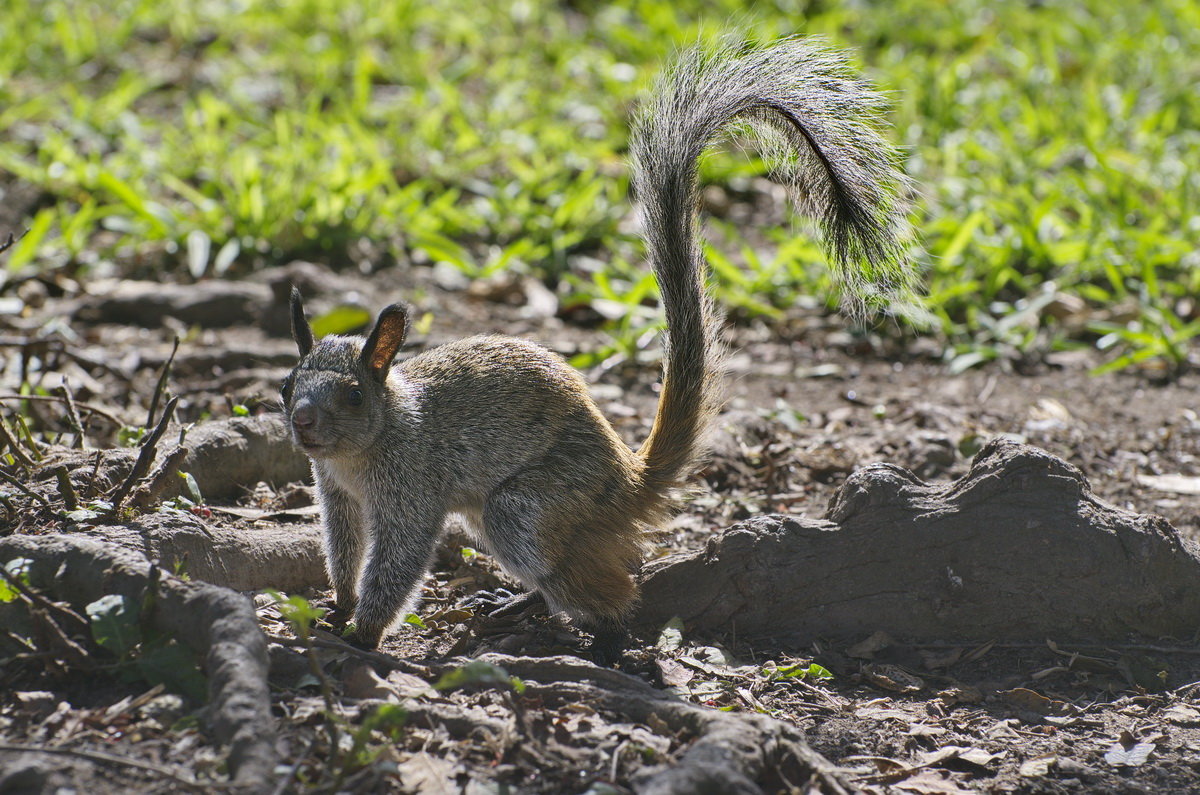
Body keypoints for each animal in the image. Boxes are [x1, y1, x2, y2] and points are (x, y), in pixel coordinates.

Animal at [285, 37, 912, 662]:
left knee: (604, 585)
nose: (303, 421)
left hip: (530, 505)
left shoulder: (412, 487)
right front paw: (339, 606)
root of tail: (628, 479)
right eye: (286, 385)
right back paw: (517, 606)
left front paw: (363, 635)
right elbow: (343, 549)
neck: (370, 443)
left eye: (353, 395)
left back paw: (604, 639)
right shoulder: (335, 494)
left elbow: (398, 560)